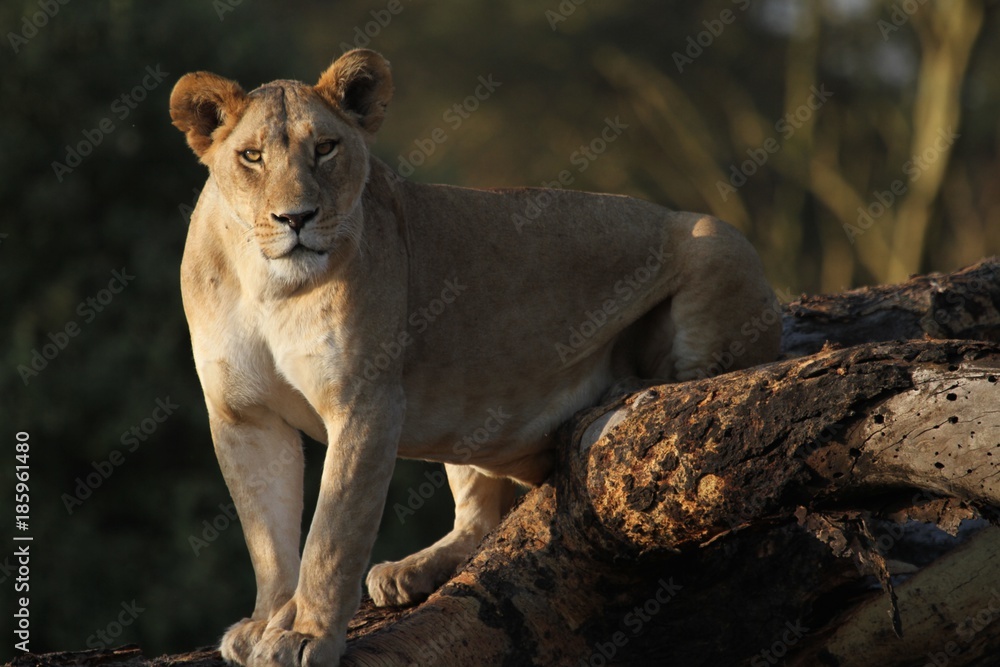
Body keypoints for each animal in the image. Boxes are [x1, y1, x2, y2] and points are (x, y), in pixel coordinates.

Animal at [169, 49, 781, 667]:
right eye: (252, 156)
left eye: (325, 148)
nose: (295, 218)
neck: (269, 285)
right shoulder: (242, 415)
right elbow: (266, 537)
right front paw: (266, 619)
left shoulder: (366, 402)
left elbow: (333, 532)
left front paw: (305, 633)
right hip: (468, 408)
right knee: (479, 514)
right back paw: (411, 570)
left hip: (715, 239)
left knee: (694, 391)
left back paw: (625, 386)